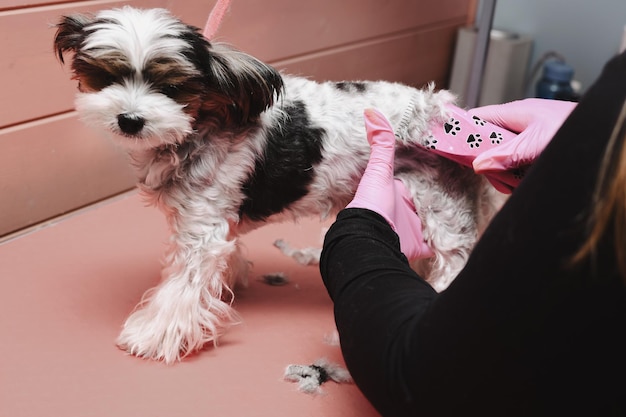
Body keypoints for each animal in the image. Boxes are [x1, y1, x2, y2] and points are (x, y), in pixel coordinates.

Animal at [52, 7, 502, 364]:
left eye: (172, 88)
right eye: (106, 76)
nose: (130, 120)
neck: (198, 127)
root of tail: (453, 112)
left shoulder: (201, 230)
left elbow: (182, 285)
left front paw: (153, 335)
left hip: (439, 202)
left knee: (453, 264)